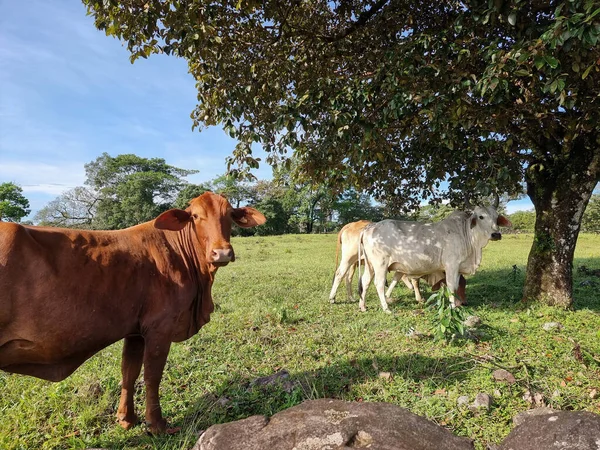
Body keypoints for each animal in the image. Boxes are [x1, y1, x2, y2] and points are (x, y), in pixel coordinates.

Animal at [0, 192, 268, 434]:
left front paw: (127, 418)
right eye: (195, 216)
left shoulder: (135, 330)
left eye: (229, 215)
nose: (221, 253)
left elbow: (129, 372)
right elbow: (152, 375)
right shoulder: (160, 328)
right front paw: (157, 425)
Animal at [358, 205, 508, 312]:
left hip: (370, 265)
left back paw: (363, 306)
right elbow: (451, 285)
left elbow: (456, 285)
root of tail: (370, 227)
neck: (466, 234)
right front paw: (453, 307)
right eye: (481, 217)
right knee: (378, 283)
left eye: (496, 217)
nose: (496, 234)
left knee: (365, 281)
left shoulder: (458, 268)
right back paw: (386, 308)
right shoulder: (451, 265)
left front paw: (457, 304)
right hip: (380, 264)